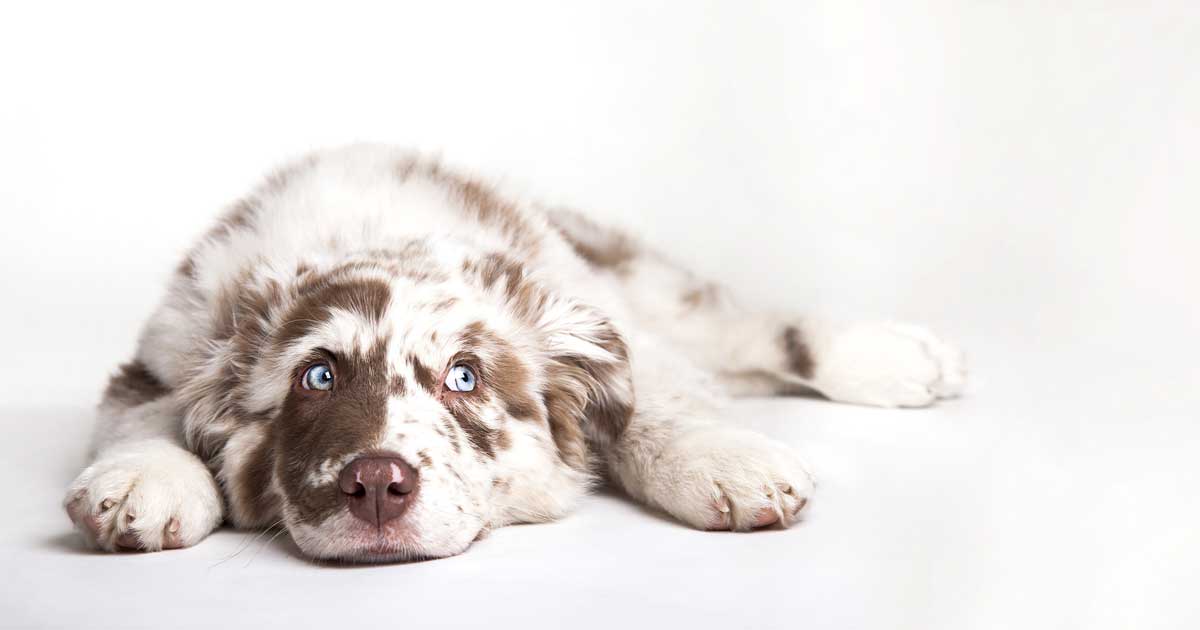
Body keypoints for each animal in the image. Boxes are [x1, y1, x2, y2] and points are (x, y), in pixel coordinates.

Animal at [63, 145, 964, 561]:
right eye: (315, 376)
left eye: (464, 378)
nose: (377, 485)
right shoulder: (163, 352)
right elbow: (148, 417)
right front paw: (140, 483)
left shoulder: (602, 322)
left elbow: (649, 404)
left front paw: (723, 463)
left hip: (639, 281)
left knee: (748, 329)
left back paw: (902, 358)